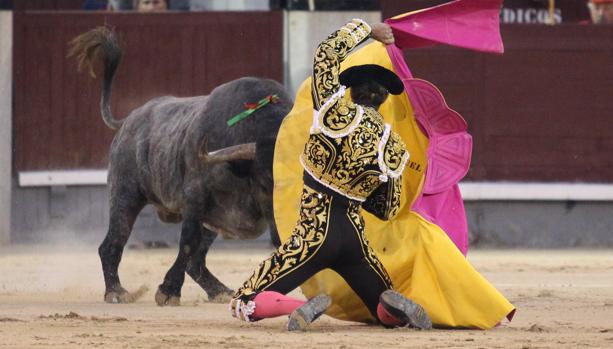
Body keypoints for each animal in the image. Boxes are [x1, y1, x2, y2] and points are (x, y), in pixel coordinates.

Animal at [69, 27, 292, 304]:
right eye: (264, 181)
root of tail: (129, 120)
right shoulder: (194, 198)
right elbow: (187, 241)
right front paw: (168, 291)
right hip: (124, 196)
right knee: (111, 245)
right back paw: (117, 291)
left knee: (196, 262)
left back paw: (219, 291)